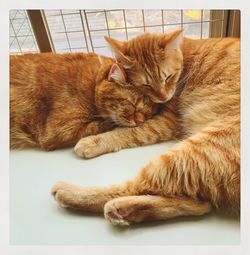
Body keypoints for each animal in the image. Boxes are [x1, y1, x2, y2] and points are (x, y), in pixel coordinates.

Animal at [10, 52, 158, 150]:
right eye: (133, 104)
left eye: (149, 113)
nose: (141, 121)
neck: (91, 86)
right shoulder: (61, 131)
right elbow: (103, 124)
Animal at [51, 30, 240, 226]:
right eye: (146, 85)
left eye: (168, 77)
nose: (163, 97)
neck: (185, 59)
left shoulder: (166, 122)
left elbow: (128, 132)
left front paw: (92, 142)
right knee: (200, 204)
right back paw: (125, 211)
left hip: (193, 152)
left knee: (134, 186)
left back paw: (71, 193)